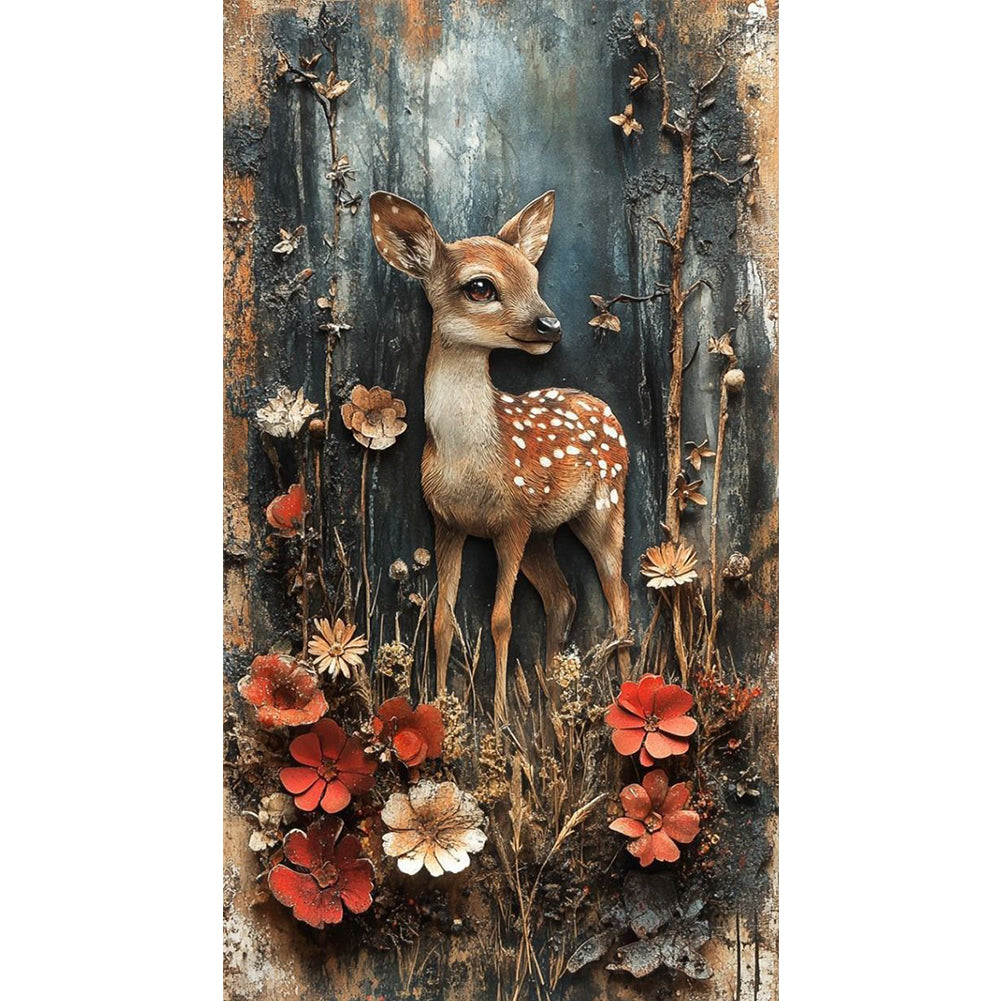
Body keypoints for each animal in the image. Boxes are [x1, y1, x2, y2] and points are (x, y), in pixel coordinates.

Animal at [370, 189, 630, 723]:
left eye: (534, 278)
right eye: (480, 287)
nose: (550, 325)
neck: (468, 461)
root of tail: (603, 406)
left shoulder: (512, 519)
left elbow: (501, 619)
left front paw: (499, 720)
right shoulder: (446, 523)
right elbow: (443, 620)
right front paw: (440, 712)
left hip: (604, 504)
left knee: (618, 596)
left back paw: (625, 694)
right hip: (543, 532)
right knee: (563, 598)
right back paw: (554, 703)